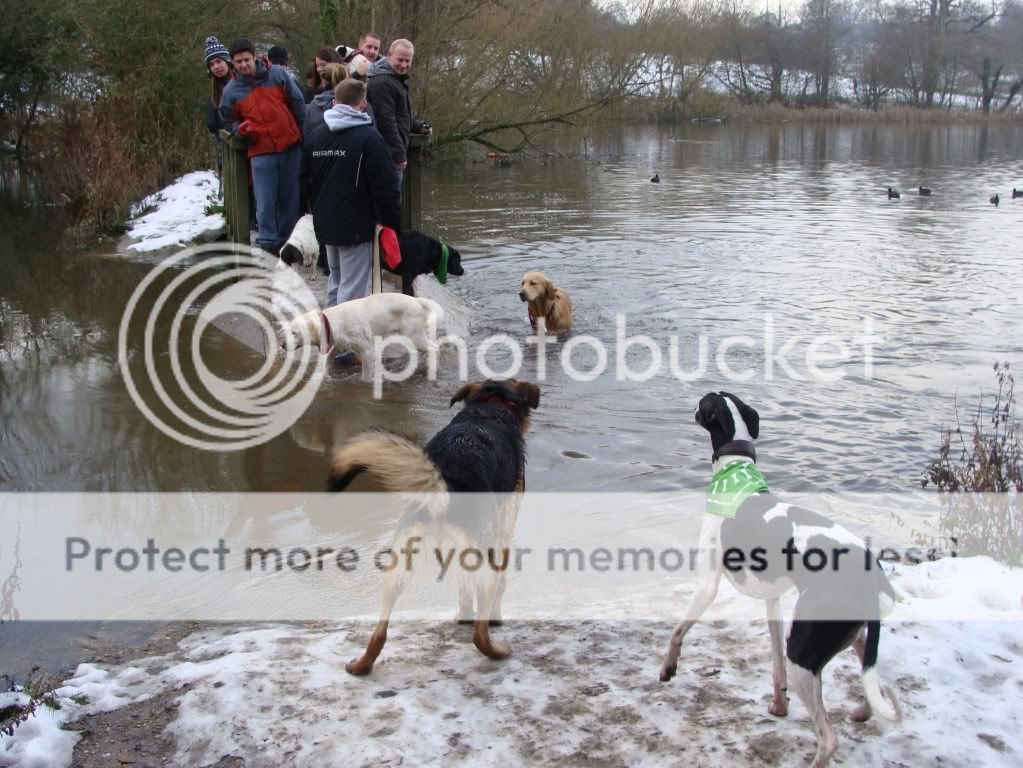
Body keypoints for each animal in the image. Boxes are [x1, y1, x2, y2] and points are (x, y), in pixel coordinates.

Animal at [658, 392, 900, 768]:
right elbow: (774, 663)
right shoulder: (772, 601)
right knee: (876, 683)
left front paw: (668, 668)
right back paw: (863, 711)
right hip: (849, 637)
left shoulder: (708, 585)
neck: (736, 472)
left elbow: (677, 630)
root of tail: (873, 579)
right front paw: (779, 704)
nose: (690, 404)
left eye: (703, 402)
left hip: (804, 653)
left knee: (828, 738)